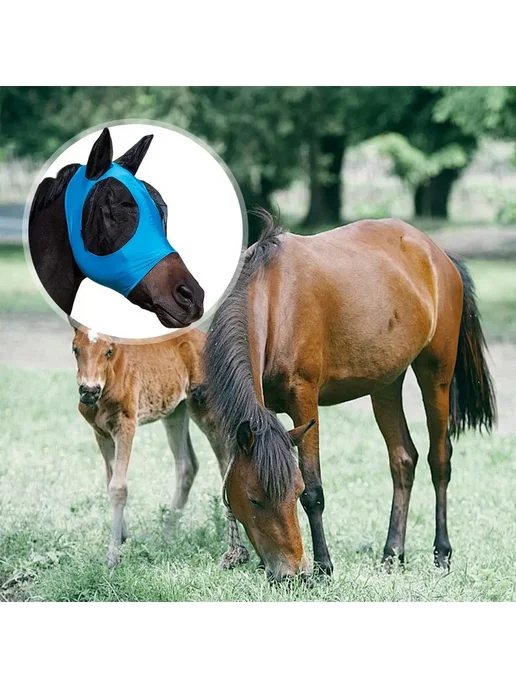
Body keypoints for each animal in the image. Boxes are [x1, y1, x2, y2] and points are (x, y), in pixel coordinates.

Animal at [72, 326, 249, 568]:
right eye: (75, 349)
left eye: (108, 351)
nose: (89, 390)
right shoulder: (101, 432)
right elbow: (110, 480)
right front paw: (123, 538)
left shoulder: (126, 425)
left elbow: (118, 487)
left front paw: (113, 557)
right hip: (175, 412)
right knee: (187, 465)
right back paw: (167, 534)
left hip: (205, 410)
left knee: (224, 464)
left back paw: (233, 547)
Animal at [203, 212, 496, 583]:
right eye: (254, 499)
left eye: (294, 492)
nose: (289, 574)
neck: (274, 299)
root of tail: (438, 255)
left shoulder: (304, 400)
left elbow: (315, 490)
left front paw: (324, 568)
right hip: (386, 384)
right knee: (403, 460)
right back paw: (392, 554)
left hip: (436, 375)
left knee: (439, 460)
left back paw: (442, 553)